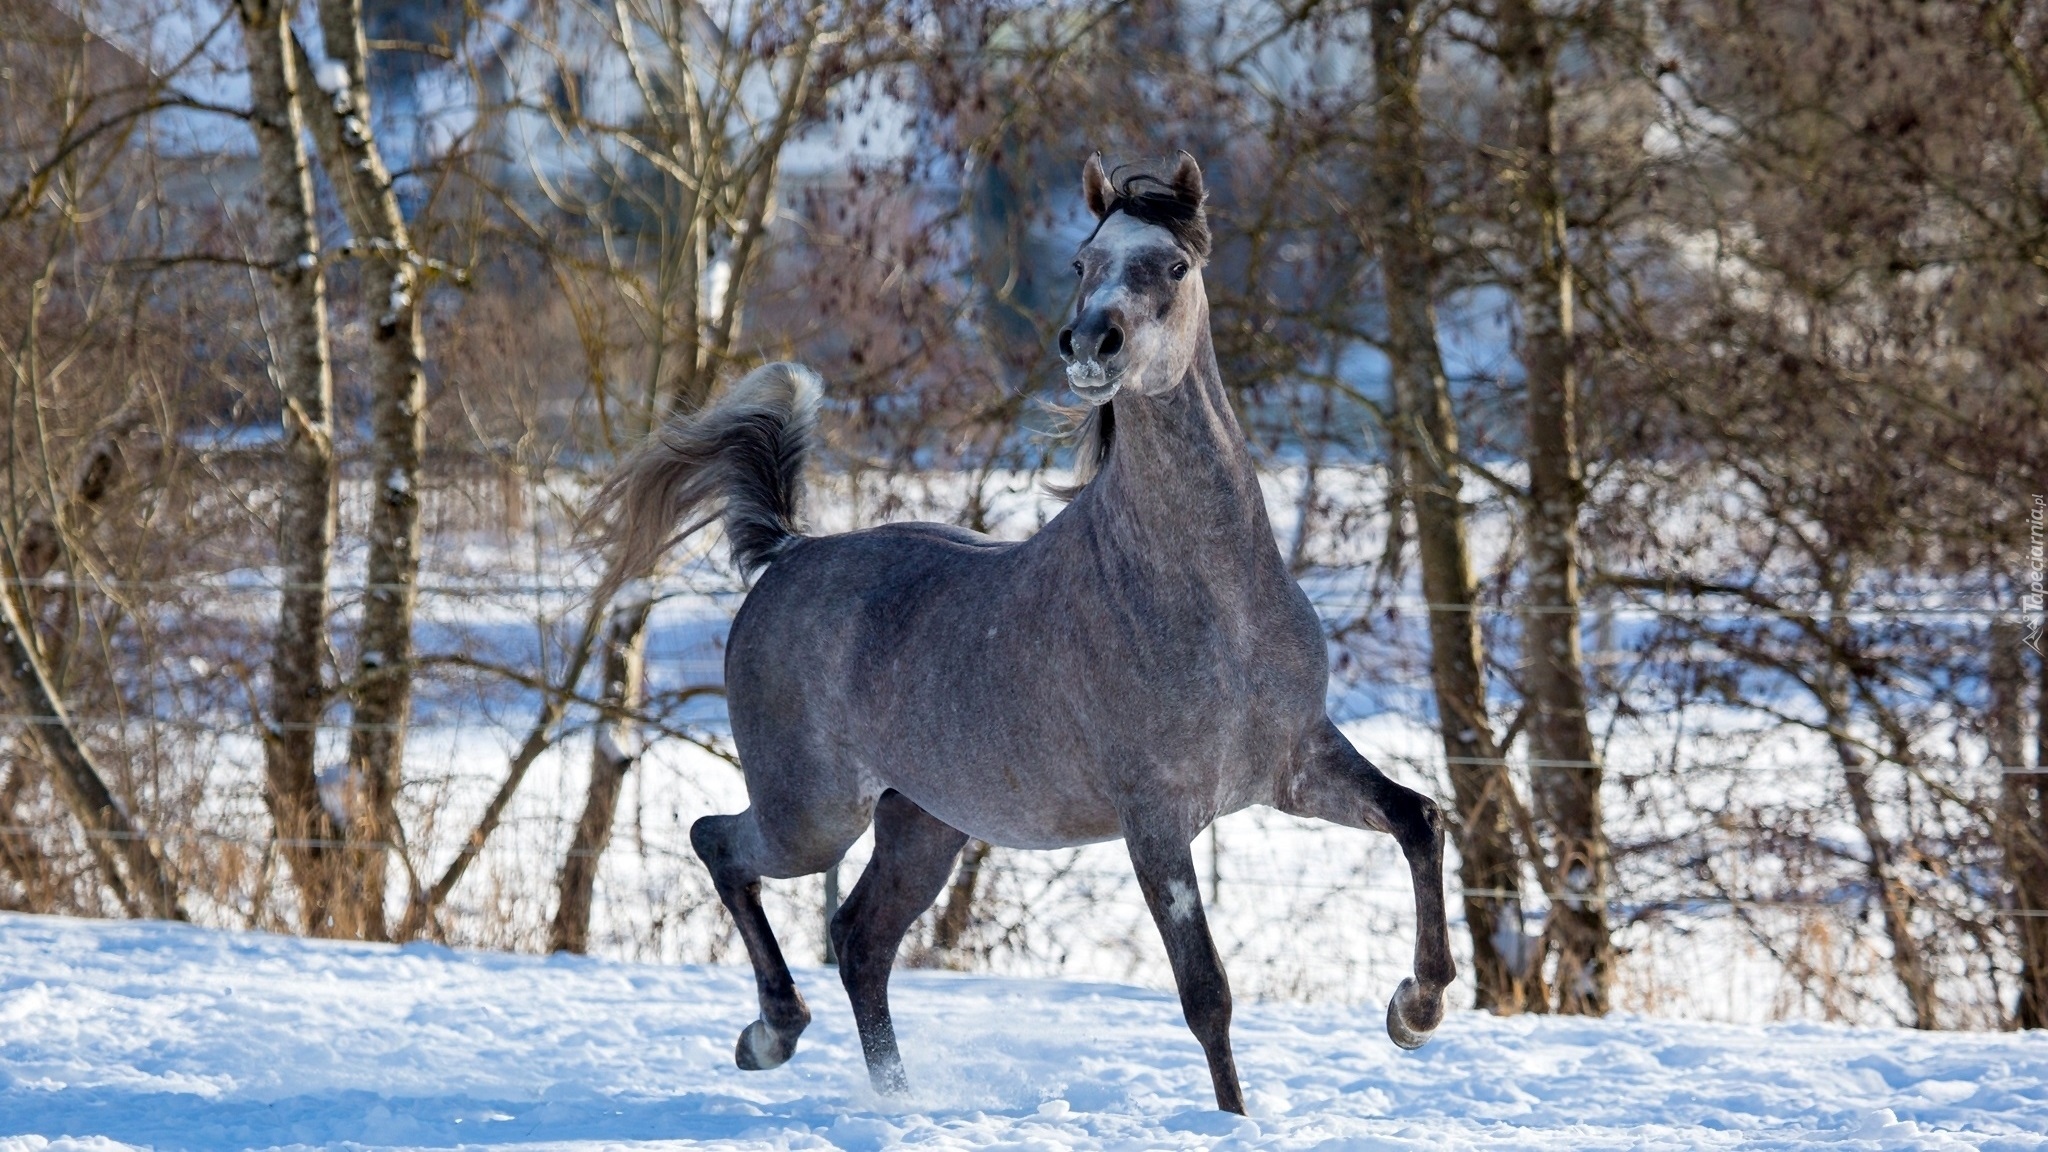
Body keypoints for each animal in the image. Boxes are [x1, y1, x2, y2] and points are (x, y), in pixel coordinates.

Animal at [598, 147, 1466, 1106]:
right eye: (1083, 263)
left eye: (1173, 266)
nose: (1090, 345)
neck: (1210, 602)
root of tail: (788, 552)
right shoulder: (1155, 819)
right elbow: (1207, 995)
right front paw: (1237, 1118)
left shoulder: (1296, 764)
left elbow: (1421, 819)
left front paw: (1415, 1010)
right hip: (812, 814)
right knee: (721, 845)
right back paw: (771, 1035)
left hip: (922, 823)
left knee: (860, 937)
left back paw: (893, 1097)